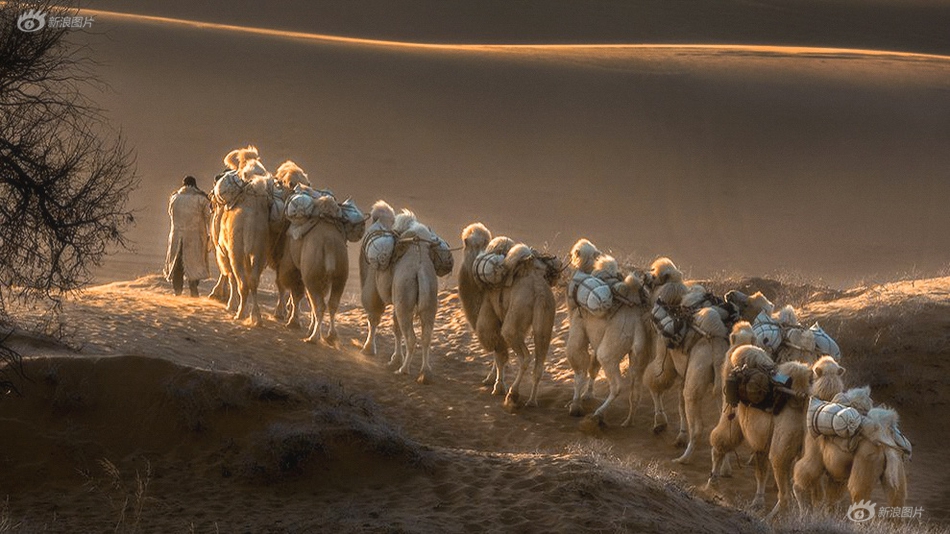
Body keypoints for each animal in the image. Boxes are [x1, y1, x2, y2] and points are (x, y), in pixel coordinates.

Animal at [290, 195, 354, 346]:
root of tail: (329, 244)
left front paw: (310, 331)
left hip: (311, 277)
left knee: (319, 305)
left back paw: (312, 338)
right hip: (341, 276)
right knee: (333, 304)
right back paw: (331, 336)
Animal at [564, 243, 656, 428]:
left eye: (576, 251)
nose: (570, 255)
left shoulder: (578, 324)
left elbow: (579, 363)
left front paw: (575, 405)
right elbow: (592, 366)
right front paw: (587, 395)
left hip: (613, 345)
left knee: (615, 382)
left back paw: (598, 415)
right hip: (640, 350)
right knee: (635, 386)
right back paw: (628, 421)